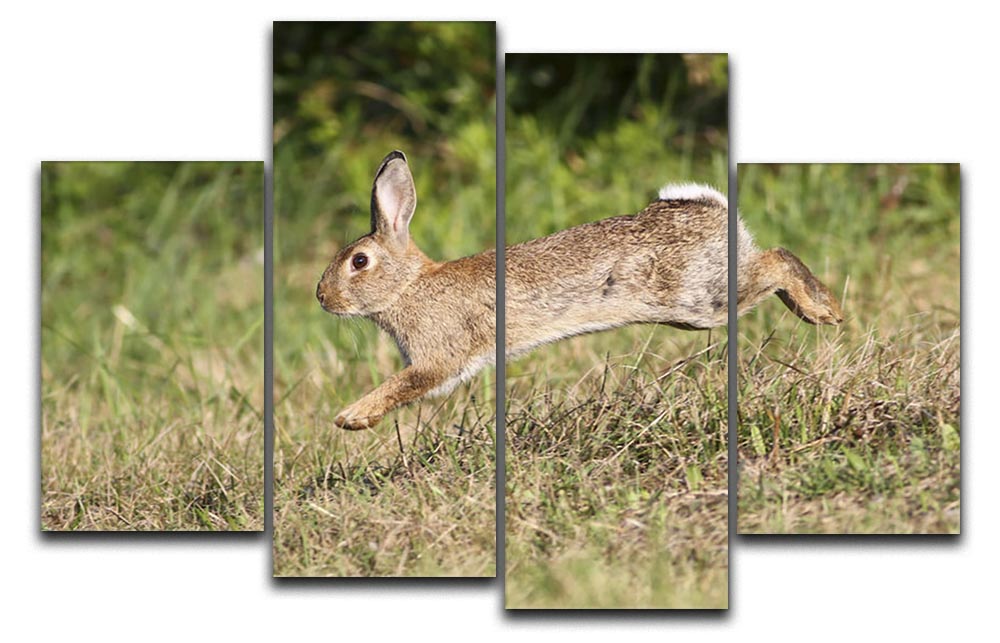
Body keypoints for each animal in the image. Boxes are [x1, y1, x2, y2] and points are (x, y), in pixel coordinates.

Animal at [318, 152, 842, 430]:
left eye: (359, 262)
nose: (322, 298)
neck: (408, 285)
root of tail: (711, 209)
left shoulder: (438, 357)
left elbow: (404, 385)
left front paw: (350, 417)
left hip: (700, 299)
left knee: (776, 261)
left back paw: (824, 311)